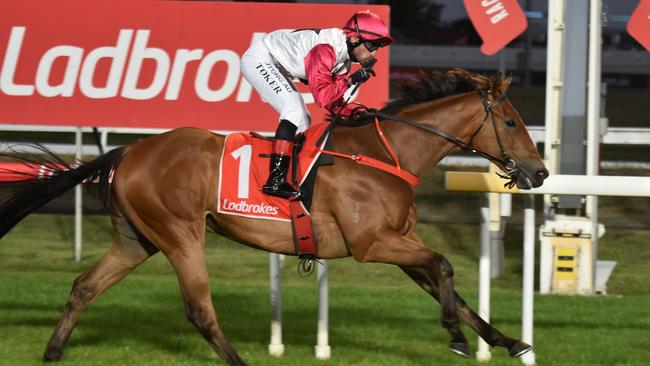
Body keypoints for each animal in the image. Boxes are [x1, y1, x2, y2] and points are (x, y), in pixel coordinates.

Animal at [0, 70, 548, 364]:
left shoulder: (396, 244)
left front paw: (508, 341)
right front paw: (456, 337)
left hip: (136, 238)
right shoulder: (372, 244)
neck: (385, 154)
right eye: (510, 122)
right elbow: (445, 266)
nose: (540, 172)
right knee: (199, 309)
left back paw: (53, 352)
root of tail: (128, 152)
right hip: (179, 233)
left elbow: (448, 284)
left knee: (84, 286)